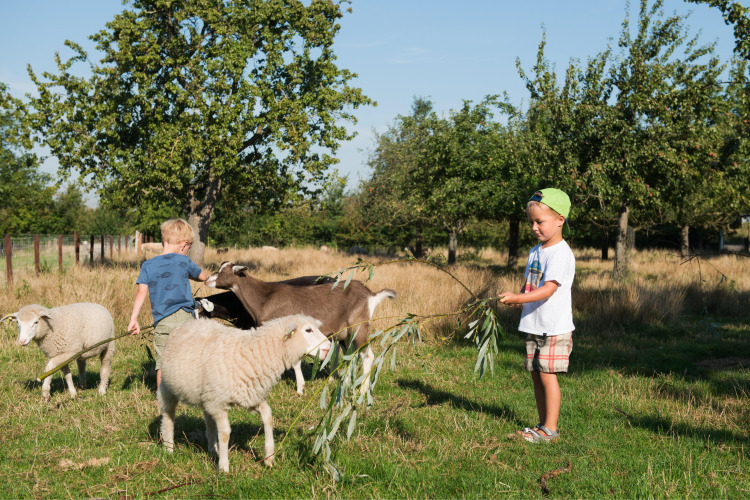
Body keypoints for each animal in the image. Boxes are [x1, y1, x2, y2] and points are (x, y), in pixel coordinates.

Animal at [157, 314, 331, 472]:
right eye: (308, 330)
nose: (329, 347)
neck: (253, 353)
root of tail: (188, 323)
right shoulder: (219, 404)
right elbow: (225, 433)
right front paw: (224, 467)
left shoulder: (251, 396)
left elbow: (268, 417)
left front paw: (269, 457)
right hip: (169, 388)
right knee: (168, 415)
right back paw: (168, 448)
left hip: (207, 396)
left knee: (208, 420)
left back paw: (213, 449)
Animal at [205, 261, 397, 397]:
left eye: (223, 271)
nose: (207, 280)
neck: (264, 297)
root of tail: (371, 295)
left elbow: (294, 361)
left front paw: (300, 388)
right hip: (346, 334)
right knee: (351, 355)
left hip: (359, 327)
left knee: (367, 355)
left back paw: (362, 391)